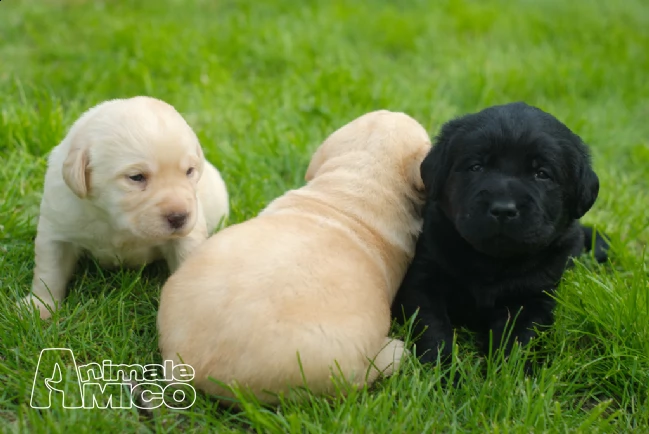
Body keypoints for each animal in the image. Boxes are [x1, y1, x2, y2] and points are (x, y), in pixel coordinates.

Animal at [20, 96, 229, 318]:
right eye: (136, 177)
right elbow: (49, 271)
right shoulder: (57, 228)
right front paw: (39, 306)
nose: (179, 217)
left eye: (189, 171)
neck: (111, 220)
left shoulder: (188, 236)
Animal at [390, 103, 608, 364]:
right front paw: (443, 368)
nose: (503, 209)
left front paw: (510, 370)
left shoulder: (535, 296)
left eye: (542, 174)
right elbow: (432, 326)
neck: (492, 263)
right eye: (476, 167)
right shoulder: (423, 278)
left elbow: (520, 337)